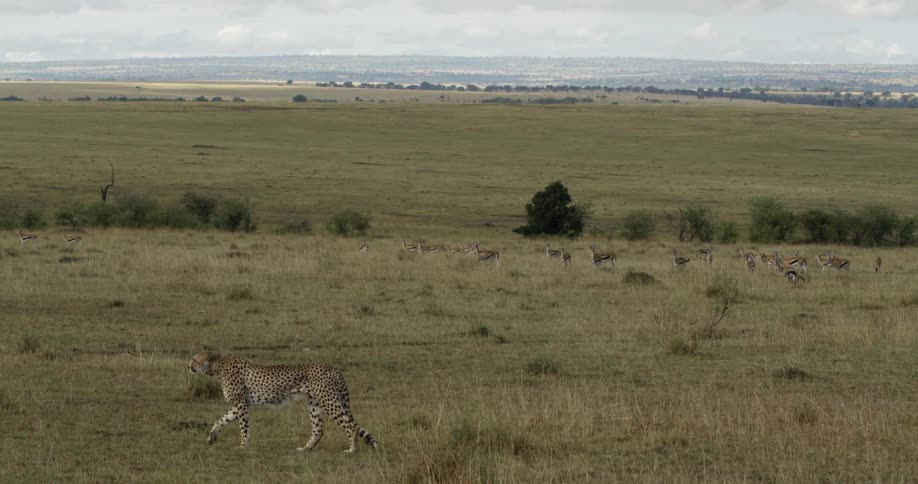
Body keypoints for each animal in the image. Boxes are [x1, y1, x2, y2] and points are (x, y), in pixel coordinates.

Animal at [189, 353, 379, 452]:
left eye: (195, 360)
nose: (188, 366)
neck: (217, 367)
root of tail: (332, 367)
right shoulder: (241, 405)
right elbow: (221, 419)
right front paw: (212, 436)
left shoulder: (241, 405)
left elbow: (244, 428)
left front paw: (243, 446)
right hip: (315, 404)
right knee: (319, 429)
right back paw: (305, 449)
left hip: (329, 401)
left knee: (350, 426)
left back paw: (351, 450)